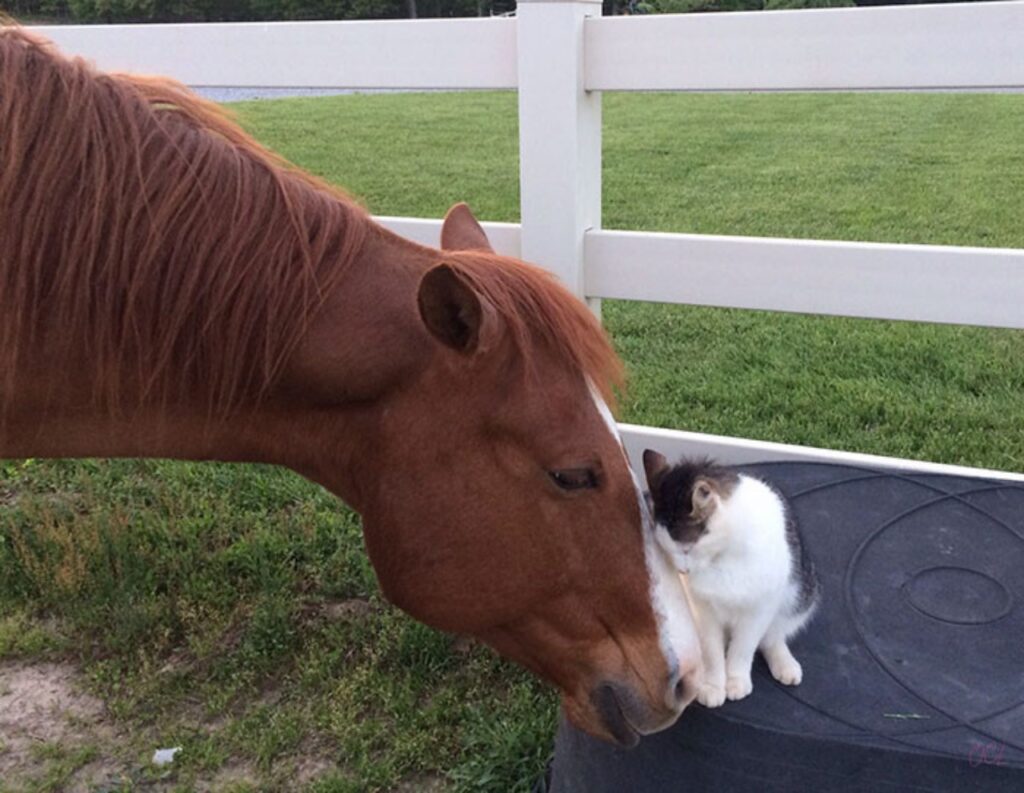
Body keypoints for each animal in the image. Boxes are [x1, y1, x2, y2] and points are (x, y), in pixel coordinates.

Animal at [643, 450, 819, 713]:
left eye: (687, 549)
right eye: (667, 550)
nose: (683, 570)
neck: (722, 557)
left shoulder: (759, 608)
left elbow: (744, 647)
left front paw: (736, 680)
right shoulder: (703, 610)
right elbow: (712, 651)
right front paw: (713, 685)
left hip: (798, 598)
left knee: (771, 637)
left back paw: (784, 664)